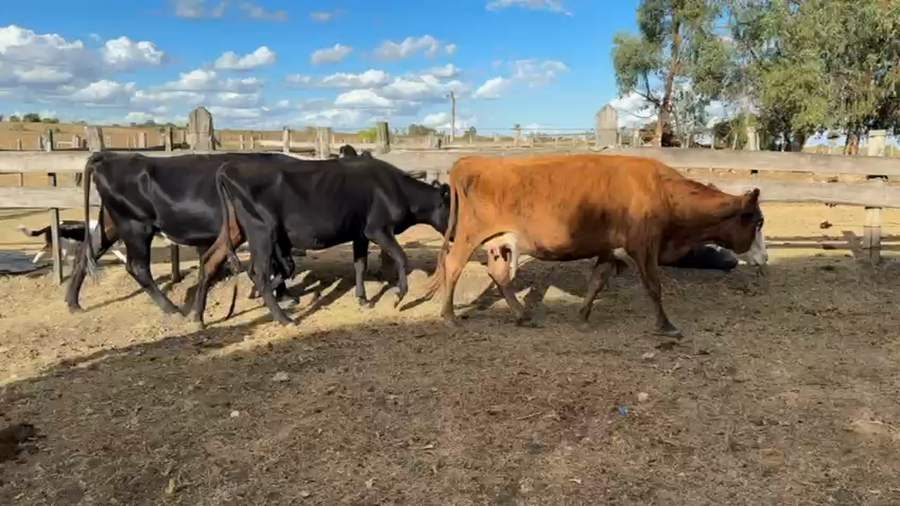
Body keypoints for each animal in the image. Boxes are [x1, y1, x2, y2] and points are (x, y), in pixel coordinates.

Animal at [67, 151, 301, 315]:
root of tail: (111, 156)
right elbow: (280, 264)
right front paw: (281, 295)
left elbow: (283, 264)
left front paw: (282, 294)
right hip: (135, 226)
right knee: (137, 267)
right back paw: (172, 309)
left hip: (112, 224)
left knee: (85, 252)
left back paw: (73, 303)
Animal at [189, 155, 452, 328]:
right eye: (453, 208)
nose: (455, 233)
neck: (397, 190)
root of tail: (228, 168)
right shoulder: (378, 229)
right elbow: (401, 257)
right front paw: (398, 297)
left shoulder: (360, 233)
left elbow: (360, 265)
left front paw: (363, 299)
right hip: (262, 231)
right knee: (258, 273)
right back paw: (284, 318)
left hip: (236, 230)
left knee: (210, 260)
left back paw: (198, 317)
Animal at [424, 153, 767, 338]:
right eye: (759, 222)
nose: (764, 258)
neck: (662, 191)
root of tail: (472, 161)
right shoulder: (643, 246)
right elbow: (654, 287)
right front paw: (667, 325)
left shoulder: (610, 249)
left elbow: (597, 281)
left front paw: (583, 314)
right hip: (469, 235)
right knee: (453, 265)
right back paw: (449, 316)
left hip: (498, 241)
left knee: (499, 274)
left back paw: (522, 315)